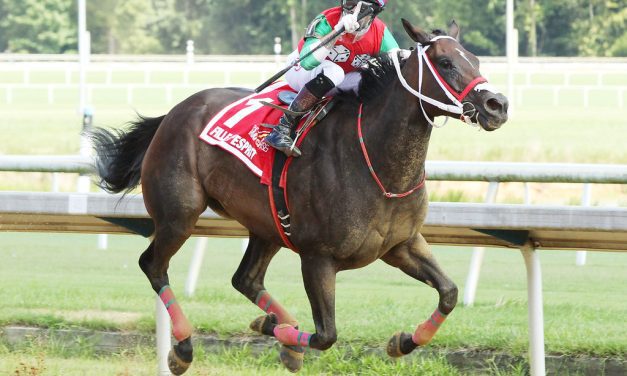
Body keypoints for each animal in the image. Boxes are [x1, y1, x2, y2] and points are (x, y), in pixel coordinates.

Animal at [89, 19, 510, 374]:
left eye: (474, 59)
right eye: (445, 62)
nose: (498, 105)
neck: (377, 161)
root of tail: (174, 113)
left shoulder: (401, 244)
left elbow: (449, 293)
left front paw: (402, 341)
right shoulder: (317, 258)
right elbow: (326, 335)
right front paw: (273, 329)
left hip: (267, 225)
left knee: (245, 279)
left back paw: (282, 333)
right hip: (179, 214)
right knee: (153, 265)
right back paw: (183, 348)